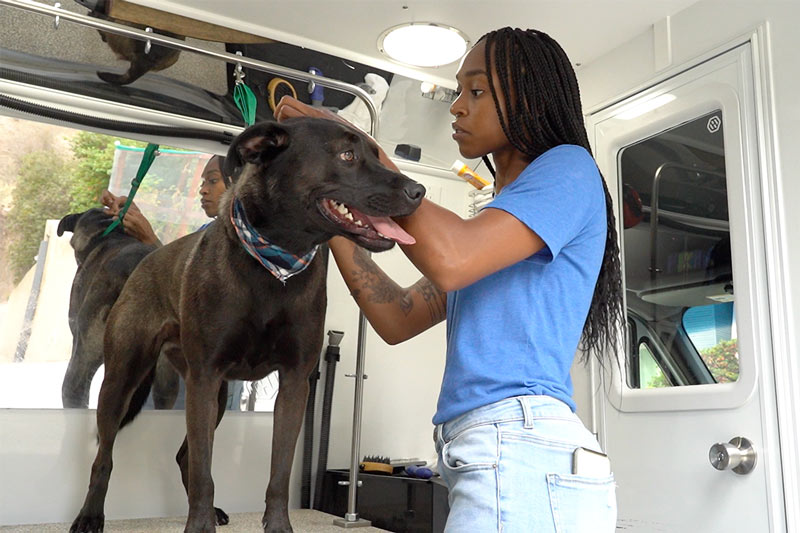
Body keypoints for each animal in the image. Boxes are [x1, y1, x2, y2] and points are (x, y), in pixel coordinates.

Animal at [72, 119, 428, 532]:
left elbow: (278, 473)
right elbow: (204, 472)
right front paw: (199, 527)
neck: (277, 262)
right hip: (123, 380)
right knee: (106, 454)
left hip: (216, 397)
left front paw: (277, 526)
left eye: (377, 154)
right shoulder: (205, 377)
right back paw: (89, 515)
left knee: (184, 456)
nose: (419, 192)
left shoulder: (293, 384)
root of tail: (149, 257)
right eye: (347, 155)